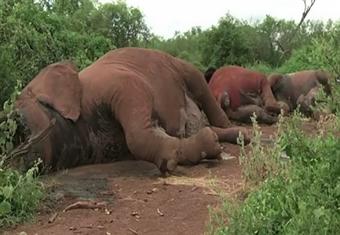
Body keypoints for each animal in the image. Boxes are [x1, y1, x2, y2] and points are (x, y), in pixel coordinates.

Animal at [13, 47, 248, 174]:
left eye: (20, 128)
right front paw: (208, 145)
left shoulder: (116, 83)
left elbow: (137, 132)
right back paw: (234, 137)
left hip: (179, 66)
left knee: (199, 85)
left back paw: (240, 134)